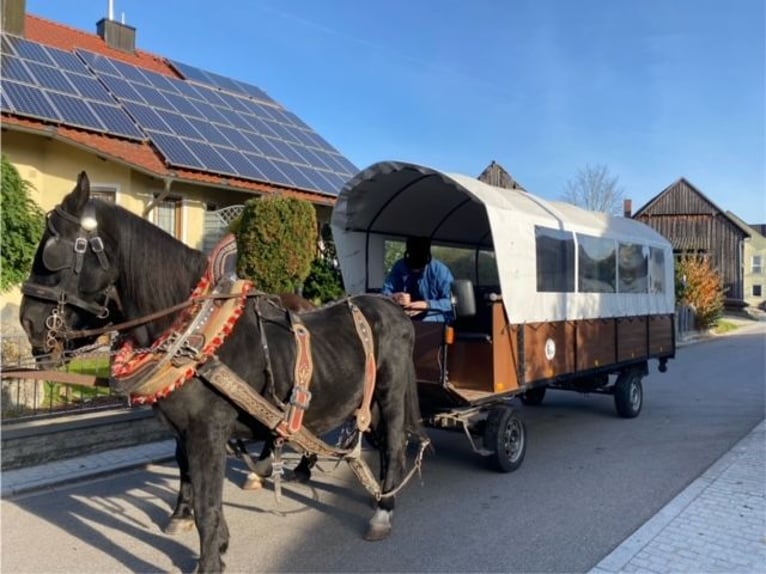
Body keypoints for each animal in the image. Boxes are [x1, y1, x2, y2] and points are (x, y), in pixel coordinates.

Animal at [19, 173, 426, 572]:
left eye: (53, 253)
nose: (29, 323)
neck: (193, 332)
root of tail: (393, 308)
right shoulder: (186, 430)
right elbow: (192, 480)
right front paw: (200, 529)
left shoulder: (207, 433)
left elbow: (208, 502)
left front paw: (209, 560)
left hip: (389, 394)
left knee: (393, 442)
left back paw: (383, 507)